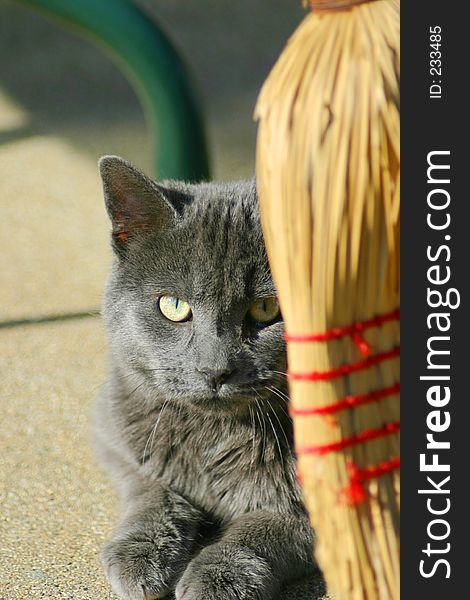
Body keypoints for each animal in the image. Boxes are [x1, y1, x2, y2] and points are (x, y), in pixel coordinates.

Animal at [94, 156, 326, 600]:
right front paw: (140, 552)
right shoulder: (115, 436)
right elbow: (149, 487)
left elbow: (269, 527)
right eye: (173, 305)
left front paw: (218, 576)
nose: (214, 369)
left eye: (267, 308)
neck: (216, 435)